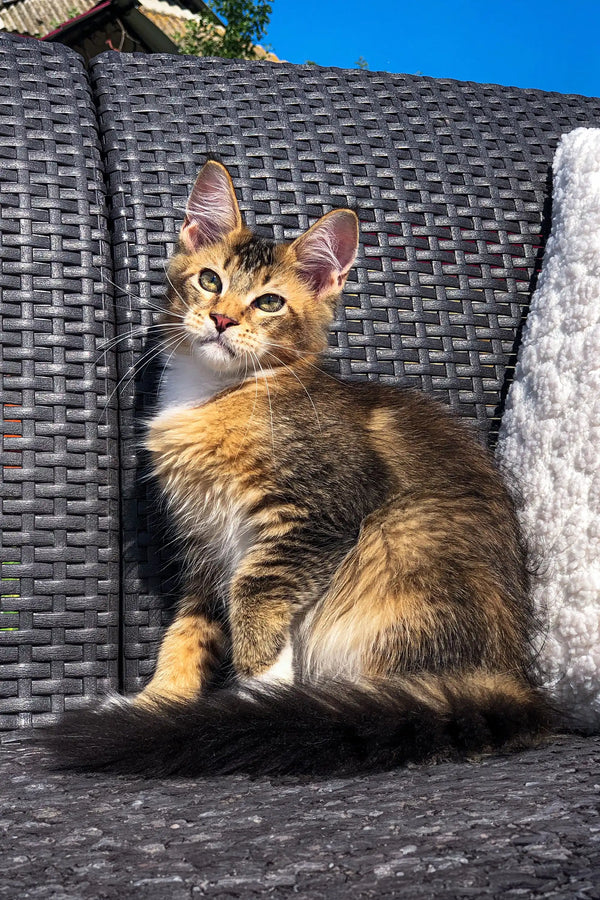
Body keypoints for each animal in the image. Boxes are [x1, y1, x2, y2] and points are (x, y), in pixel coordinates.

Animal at [43, 160, 552, 772]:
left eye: (269, 303)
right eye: (210, 280)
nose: (220, 319)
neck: (218, 394)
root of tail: (514, 678)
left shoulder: (320, 514)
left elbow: (254, 595)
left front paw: (260, 690)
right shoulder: (205, 543)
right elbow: (189, 629)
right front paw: (158, 702)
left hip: (397, 546)